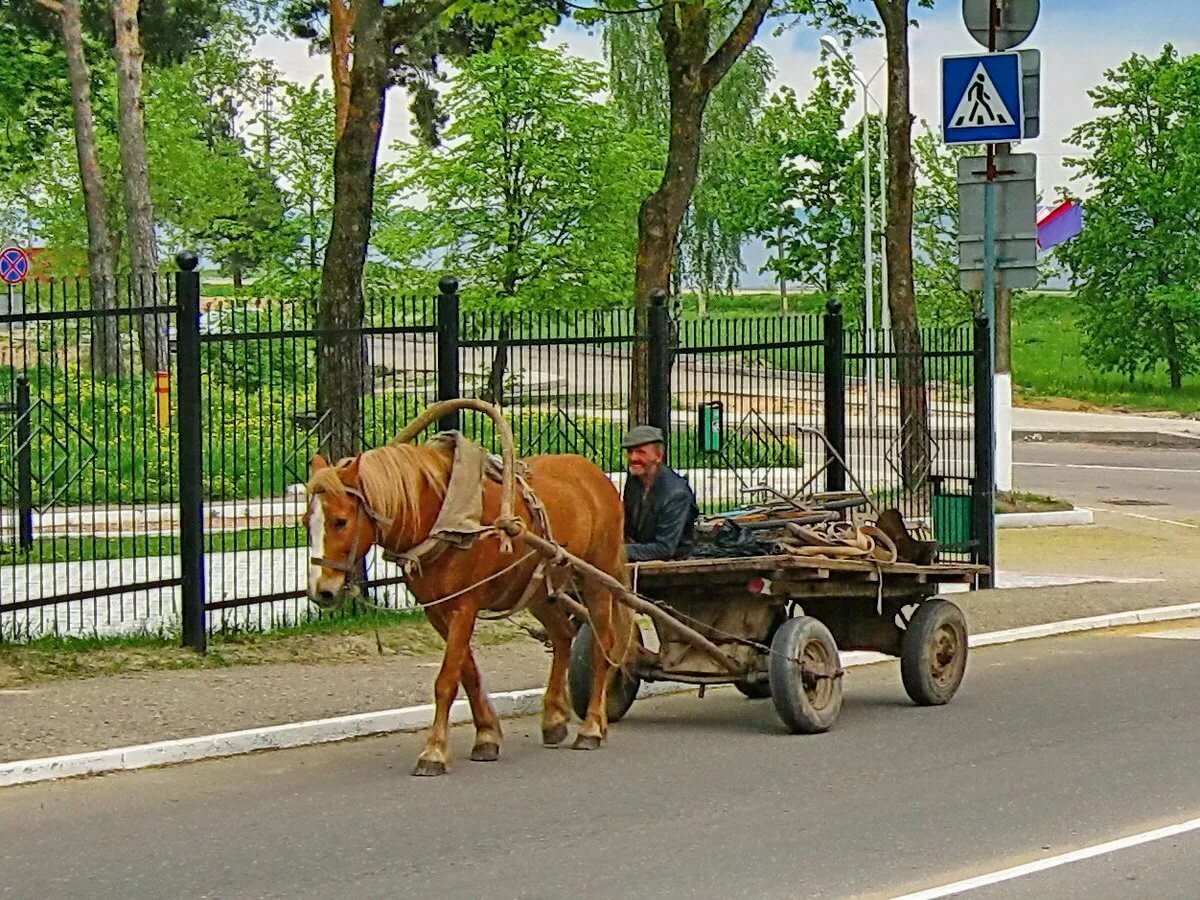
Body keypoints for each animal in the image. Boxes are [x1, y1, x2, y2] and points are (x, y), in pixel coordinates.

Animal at [304, 441, 638, 777]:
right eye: (307, 521)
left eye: (341, 521)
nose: (322, 591)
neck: (445, 515)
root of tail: (595, 474)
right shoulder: (436, 610)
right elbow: (468, 673)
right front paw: (487, 735)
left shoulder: (465, 605)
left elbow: (447, 680)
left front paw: (434, 752)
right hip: (538, 590)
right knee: (563, 634)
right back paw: (555, 720)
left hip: (597, 579)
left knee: (602, 647)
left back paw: (592, 728)